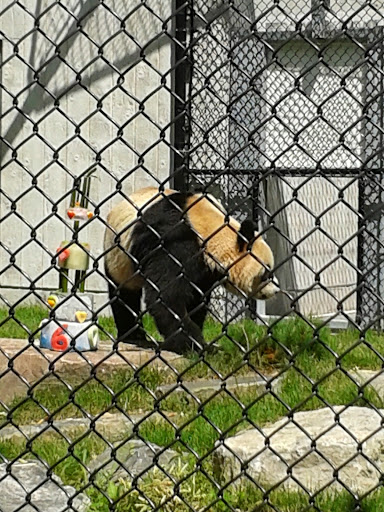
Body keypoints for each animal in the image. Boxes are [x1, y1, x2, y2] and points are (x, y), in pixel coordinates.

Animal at [103, 186, 278, 354]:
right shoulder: (172, 243)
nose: (276, 290)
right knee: (124, 294)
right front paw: (192, 344)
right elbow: (168, 296)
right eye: (266, 273)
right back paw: (133, 335)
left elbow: (197, 299)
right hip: (118, 257)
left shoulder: (205, 270)